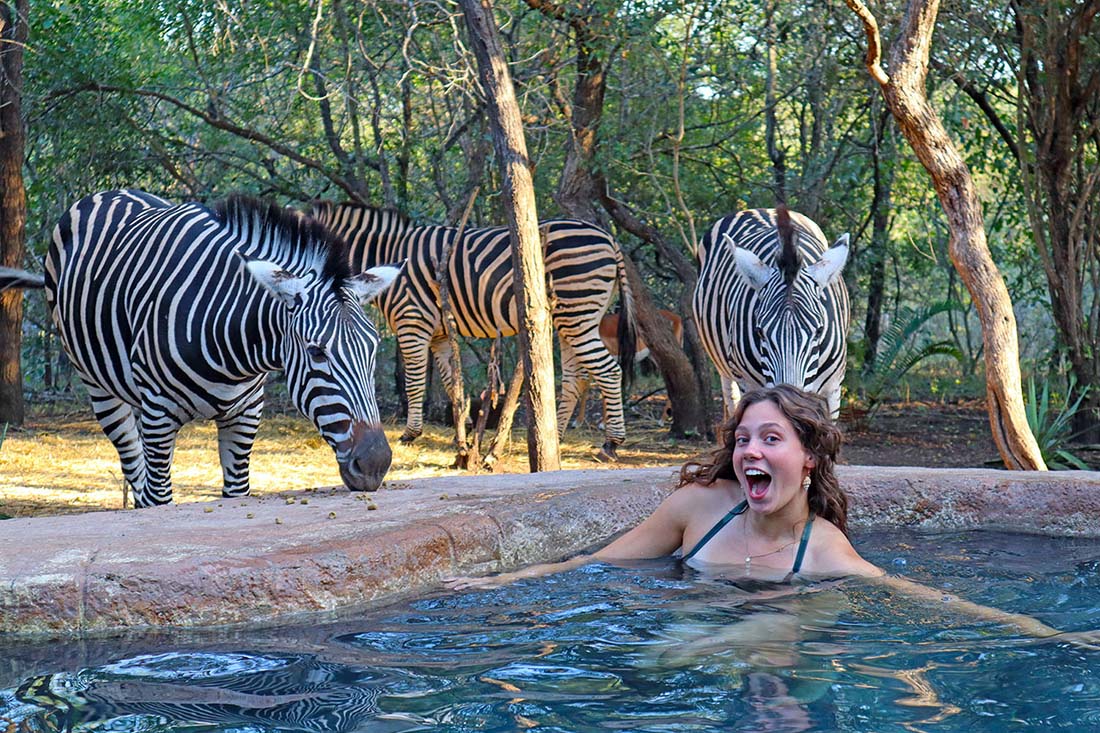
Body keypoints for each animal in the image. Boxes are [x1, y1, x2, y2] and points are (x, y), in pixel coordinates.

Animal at [0, 190, 399, 507]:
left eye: (372, 350)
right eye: (317, 352)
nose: (376, 463)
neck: (234, 349)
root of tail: (107, 193)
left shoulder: (245, 415)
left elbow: (236, 491)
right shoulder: (159, 414)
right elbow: (159, 499)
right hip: (100, 388)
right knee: (136, 473)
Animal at [310, 202, 637, 458]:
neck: (384, 257)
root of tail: (609, 238)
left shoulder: (412, 321)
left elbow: (414, 382)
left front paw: (410, 434)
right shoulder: (440, 333)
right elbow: (452, 383)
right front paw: (463, 432)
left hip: (577, 311)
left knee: (609, 370)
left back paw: (611, 443)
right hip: (570, 318)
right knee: (574, 379)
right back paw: (555, 440)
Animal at [693, 206, 850, 419]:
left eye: (819, 331)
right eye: (759, 332)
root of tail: (758, 209)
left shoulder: (833, 389)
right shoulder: (749, 383)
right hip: (725, 370)